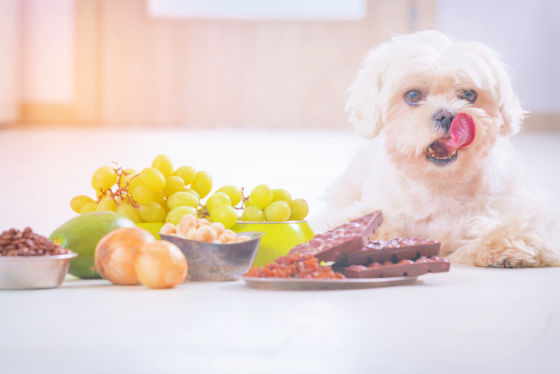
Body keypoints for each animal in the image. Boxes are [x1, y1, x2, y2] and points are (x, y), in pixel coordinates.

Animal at [324, 30, 560, 268]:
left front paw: (503, 248)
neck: (440, 186)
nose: (447, 115)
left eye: (468, 95)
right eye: (412, 96)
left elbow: (518, 226)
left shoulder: (527, 210)